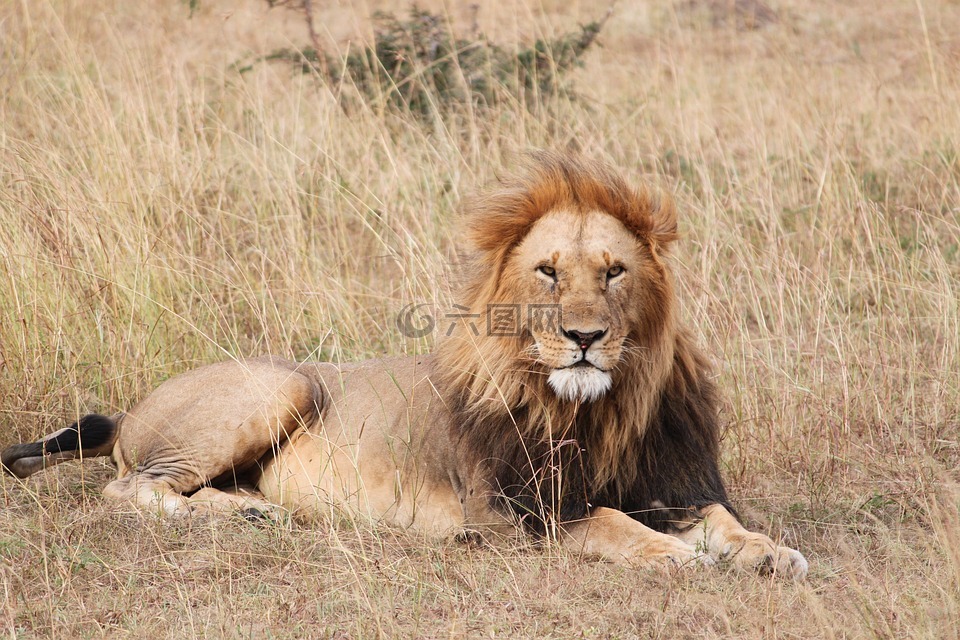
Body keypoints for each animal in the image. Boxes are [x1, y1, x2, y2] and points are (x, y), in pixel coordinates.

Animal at [1, 152, 808, 576]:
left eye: (614, 272)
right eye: (548, 272)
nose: (584, 337)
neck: (599, 406)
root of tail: (131, 409)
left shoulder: (669, 485)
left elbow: (720, 520)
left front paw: (770, 552)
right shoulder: (516, 514)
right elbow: (615, 525)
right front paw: (682, 559)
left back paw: (256, 509)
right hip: (281, 384)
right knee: (129, 489)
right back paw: (246, 512)